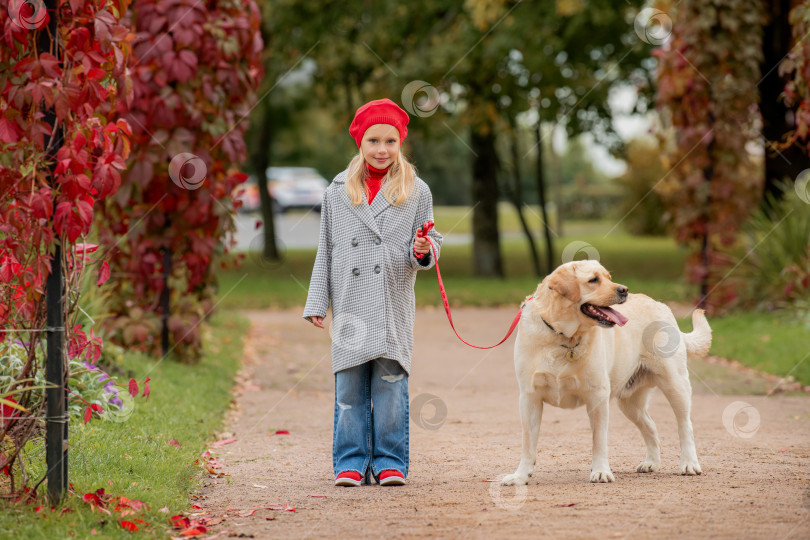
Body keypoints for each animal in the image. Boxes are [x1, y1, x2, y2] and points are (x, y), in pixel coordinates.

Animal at [502, 260, 712, 484]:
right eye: (593, 280)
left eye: (609, 278)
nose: (624, 290)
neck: (563, 336)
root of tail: (661, 304)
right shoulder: (529, 397)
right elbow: (527, 443)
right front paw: (520, 476)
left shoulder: (598, 397)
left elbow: (599, 440)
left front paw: (601, 471)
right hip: (630, 404)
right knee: (651, 426)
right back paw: (651, 462)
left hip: (676, 385)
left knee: (685, 426)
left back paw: (689, 464)